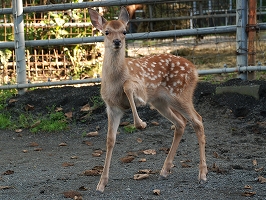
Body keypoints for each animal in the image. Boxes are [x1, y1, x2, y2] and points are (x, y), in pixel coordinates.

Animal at [88, 6, 207, 192]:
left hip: (181, 94)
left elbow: (128, 86)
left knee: (198, 120)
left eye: (124, 31)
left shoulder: (142, 89)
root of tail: (195, 70)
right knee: (181, 122)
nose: (117, 42)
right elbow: (110, 140)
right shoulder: (112, 108)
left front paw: (141, 124)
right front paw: (101, 183)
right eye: (106, 32)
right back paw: (165, 170)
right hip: (161, 101)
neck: (114, 81)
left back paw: (202, 174)